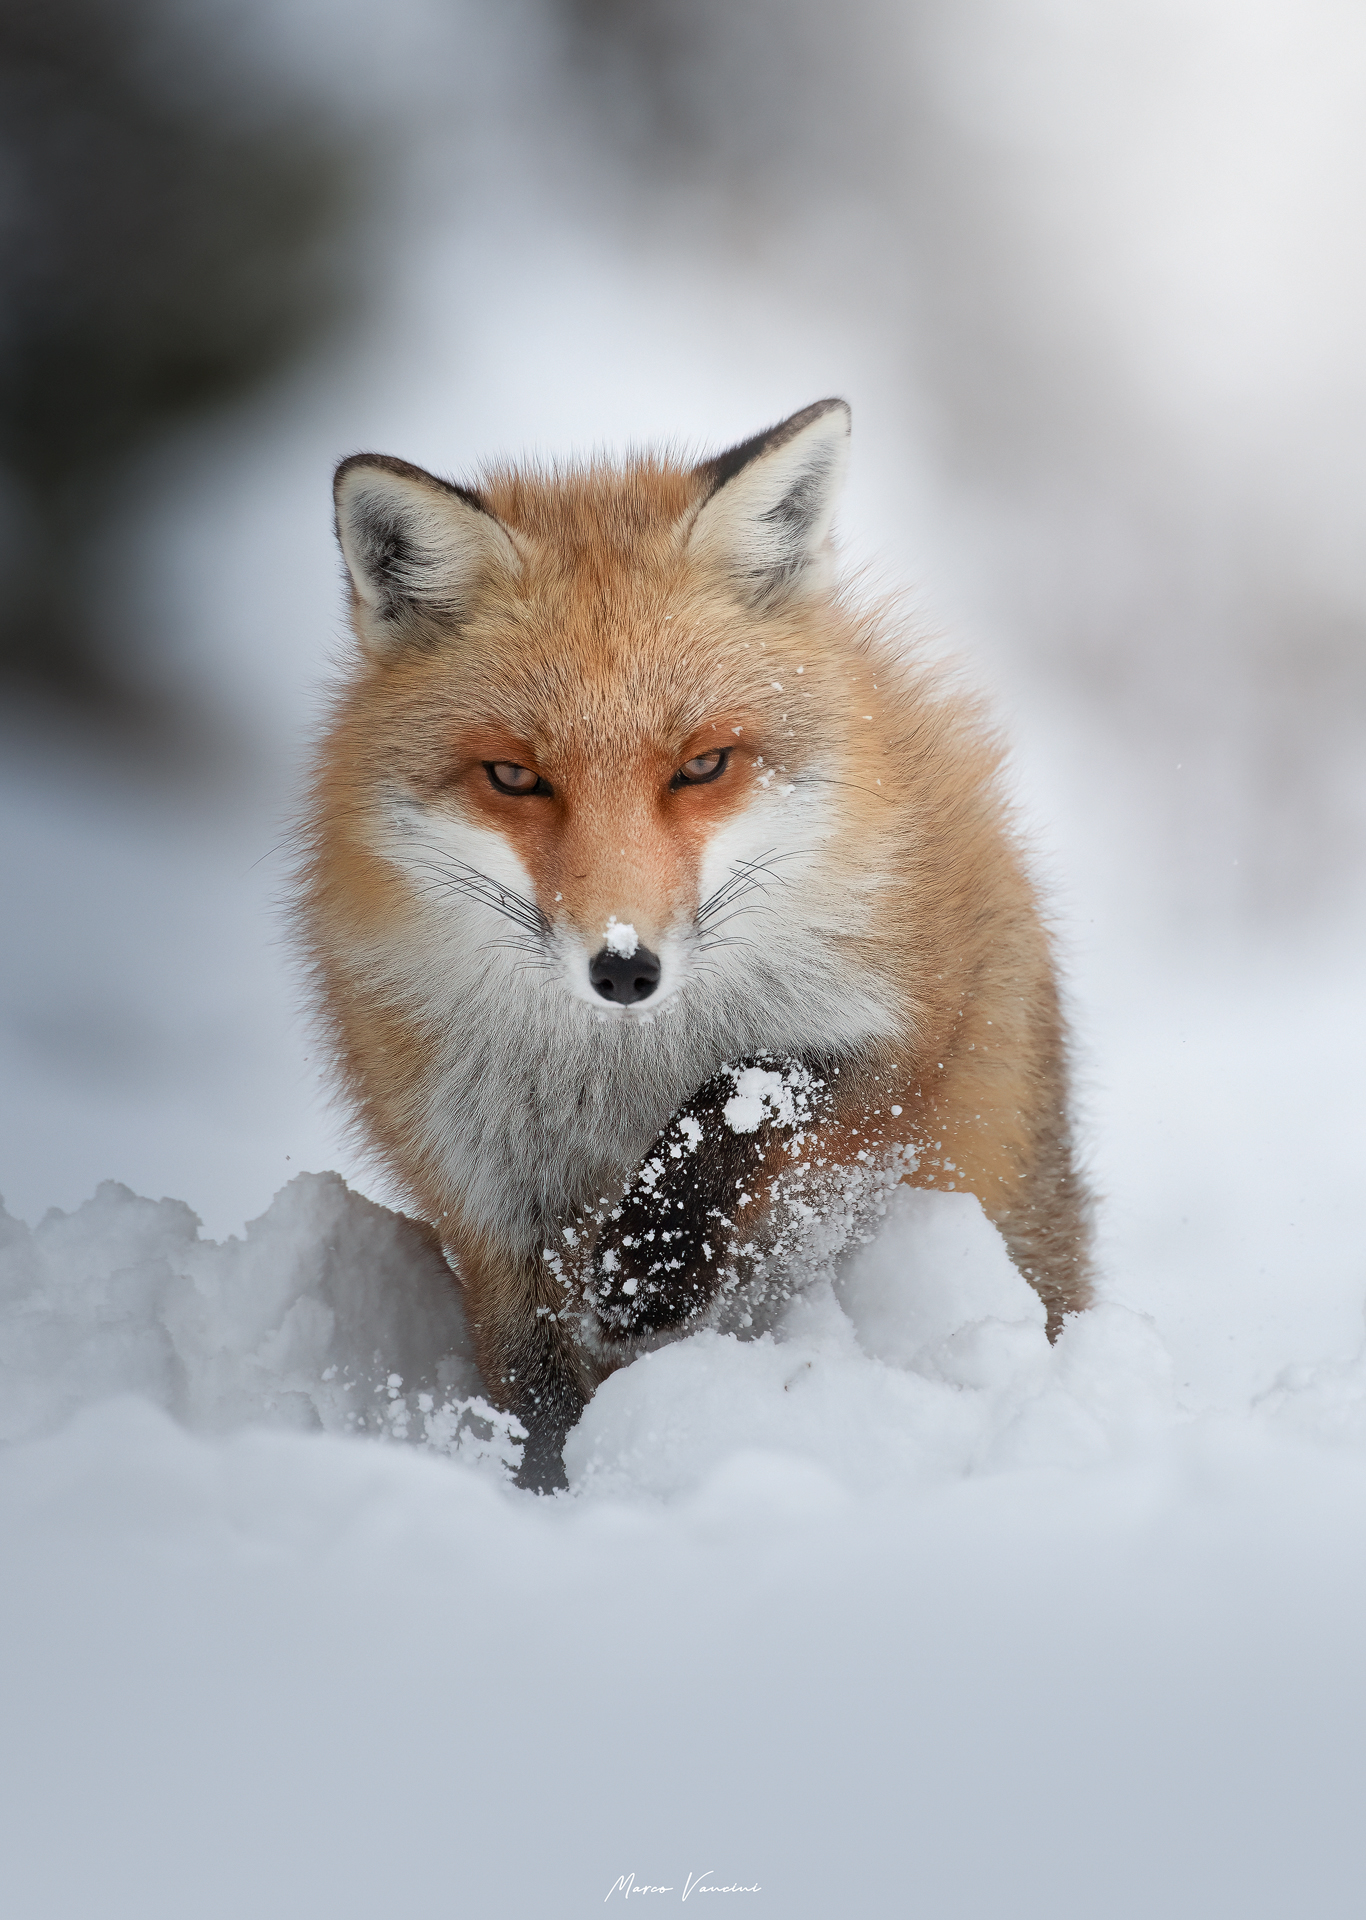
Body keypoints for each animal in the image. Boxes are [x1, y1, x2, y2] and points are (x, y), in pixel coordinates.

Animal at [299, 398, 1092, 1490]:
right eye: (514, 777)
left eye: (703, 765)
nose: (625, 967)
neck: (619, 1076)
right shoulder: (489, 1198)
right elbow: (538, 1401)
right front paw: (552, 1498)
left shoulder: (911, 1031)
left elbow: (754, 1092)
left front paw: (653, 1264)